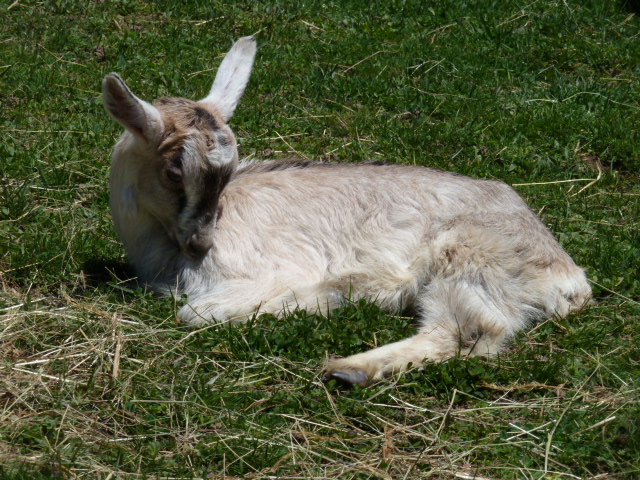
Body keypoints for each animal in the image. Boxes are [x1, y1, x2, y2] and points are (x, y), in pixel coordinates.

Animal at [104, 36, 592, 386]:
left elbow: (193, 313)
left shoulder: (269, 273)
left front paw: (320, 299)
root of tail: (569, 277)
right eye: (173, 172)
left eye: (228, 172)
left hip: (474, 257)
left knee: (470, 331)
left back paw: (350, 368)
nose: (201, 243)